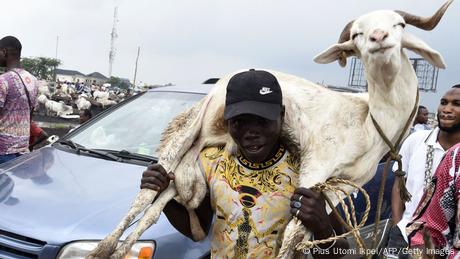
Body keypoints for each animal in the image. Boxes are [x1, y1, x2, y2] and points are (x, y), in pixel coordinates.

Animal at [86, 1, 452, 258]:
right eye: (357, 34)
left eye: (399, 24)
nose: (378, 38)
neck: (370, 122)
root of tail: (220, 83)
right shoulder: (316, 166)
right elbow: (290, 235)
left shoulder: (341, 185)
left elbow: (304, 234)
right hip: (193, 127)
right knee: (145, 195)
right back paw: (102, 249)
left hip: (201, 147)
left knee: (162, 199)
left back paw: (120, 250)